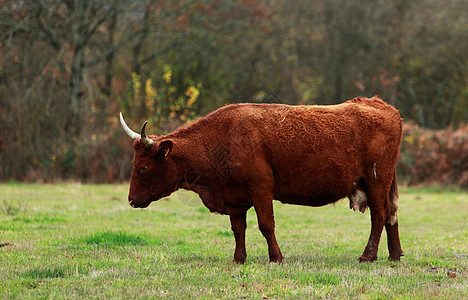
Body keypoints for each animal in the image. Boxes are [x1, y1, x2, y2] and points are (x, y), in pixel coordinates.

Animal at [119, 96, 402, 262]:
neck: (222, 138)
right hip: (384, 182)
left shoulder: (261, 188)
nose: (131, 200)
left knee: (379, 216)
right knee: (391, 214)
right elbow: (238, 229)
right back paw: (395, 255)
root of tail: (381, 104)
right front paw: (238, 258)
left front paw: (276, 257)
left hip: (377, 180)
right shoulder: (234, 197)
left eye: (143, 167)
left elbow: (266, 225)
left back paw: (368, 256)